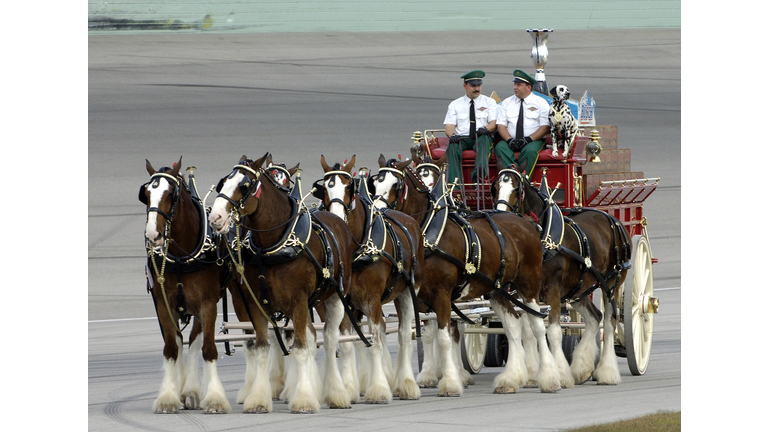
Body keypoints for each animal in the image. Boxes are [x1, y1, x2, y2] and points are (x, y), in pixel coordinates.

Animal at [140, 157, 232, 414]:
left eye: (171, 194)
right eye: (146, 194)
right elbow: (171, 348)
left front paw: (215, 398)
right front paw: (168, 398)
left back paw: (191, 390)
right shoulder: (163, 304)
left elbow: (208, 348)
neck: (181, 257)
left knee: (195, 339)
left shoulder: (208, 303)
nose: (153, 235)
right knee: (181, 341)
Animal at [207, 154, 356, 414]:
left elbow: (300, 348)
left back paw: (338, 392)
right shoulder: (254, 303)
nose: (215, 217)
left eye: (244, 185)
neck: (272, 246)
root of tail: (337, 220)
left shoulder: (298, 301)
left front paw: (304, 400)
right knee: (312, 336)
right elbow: (262, 347)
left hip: (335, 297)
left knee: (331, 339)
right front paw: (258, 398)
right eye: (223, 182)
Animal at [368, 155, 560, 394]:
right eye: (375, 184)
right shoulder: (418, 298)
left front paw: (451, 382)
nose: (377, 214)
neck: (426, 236)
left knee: (536, 325)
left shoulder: (442, 294)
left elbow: (445, 337)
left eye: (397, 185)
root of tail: (527, 222)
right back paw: (511, 379)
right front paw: (429, 376)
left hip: (529, 284)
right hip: (497, 290)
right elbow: (429, 334)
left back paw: (548, 376)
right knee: (513, 325)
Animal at [492, 165, 632, 384]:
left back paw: (607, 371)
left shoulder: (552, 291)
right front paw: (532, 372)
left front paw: (559, 374)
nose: (499, 215)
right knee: (594, 317)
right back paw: (582, 367)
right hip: (579, 288)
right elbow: (528, 331)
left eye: (516, 189)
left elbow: (553, 333)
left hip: (612, 283)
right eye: (496, 187)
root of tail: (613, 220)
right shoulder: (524, 292)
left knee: (609, 323)